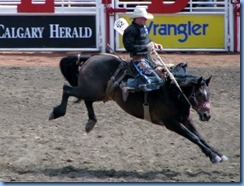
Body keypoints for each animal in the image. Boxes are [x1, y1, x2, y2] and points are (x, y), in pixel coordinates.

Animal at [49, 53, 229, 163]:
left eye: (209, 94)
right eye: (198, 94)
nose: (206, 115)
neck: (173, 91)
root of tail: (92, 57)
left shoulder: (186, 119)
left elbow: (200, 137)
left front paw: (218, 154)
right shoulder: (171, 123)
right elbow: (194, 138)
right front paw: (213, 156)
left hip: (96, 92)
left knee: (87, 101)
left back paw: (90, 122)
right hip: (88, 89)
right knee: (67, 89)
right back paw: (57, 112)